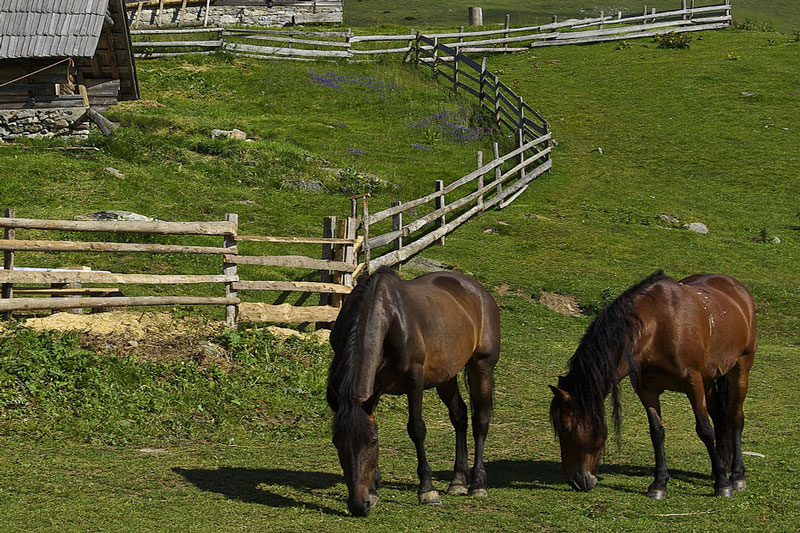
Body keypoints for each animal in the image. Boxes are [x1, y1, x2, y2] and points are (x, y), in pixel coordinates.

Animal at [327, 266, 501, 517]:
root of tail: (478, 290)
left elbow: (417, 429)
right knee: (459, 415)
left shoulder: (414, 380)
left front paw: (427, 490)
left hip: (482, 366)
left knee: (481, 420)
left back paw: (477, 484)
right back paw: (458, 480)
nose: (359, 505)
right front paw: (374, 490)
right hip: (445, 375)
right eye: (337, 442)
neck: (387, 317)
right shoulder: (375, 387)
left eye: (372, 442)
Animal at [549, 271, 757, 499]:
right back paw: (719, 467)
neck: (656, 330)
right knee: (720, 417)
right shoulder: (646, 389)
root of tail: (737, 287)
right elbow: (656, 432)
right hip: (709, 379)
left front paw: (723, 484)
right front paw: (659, 484)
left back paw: (736, 475)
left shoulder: (693, 384)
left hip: (740, 368)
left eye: (566, 428)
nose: (575, 481)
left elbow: (704, 429)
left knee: (735, 418)